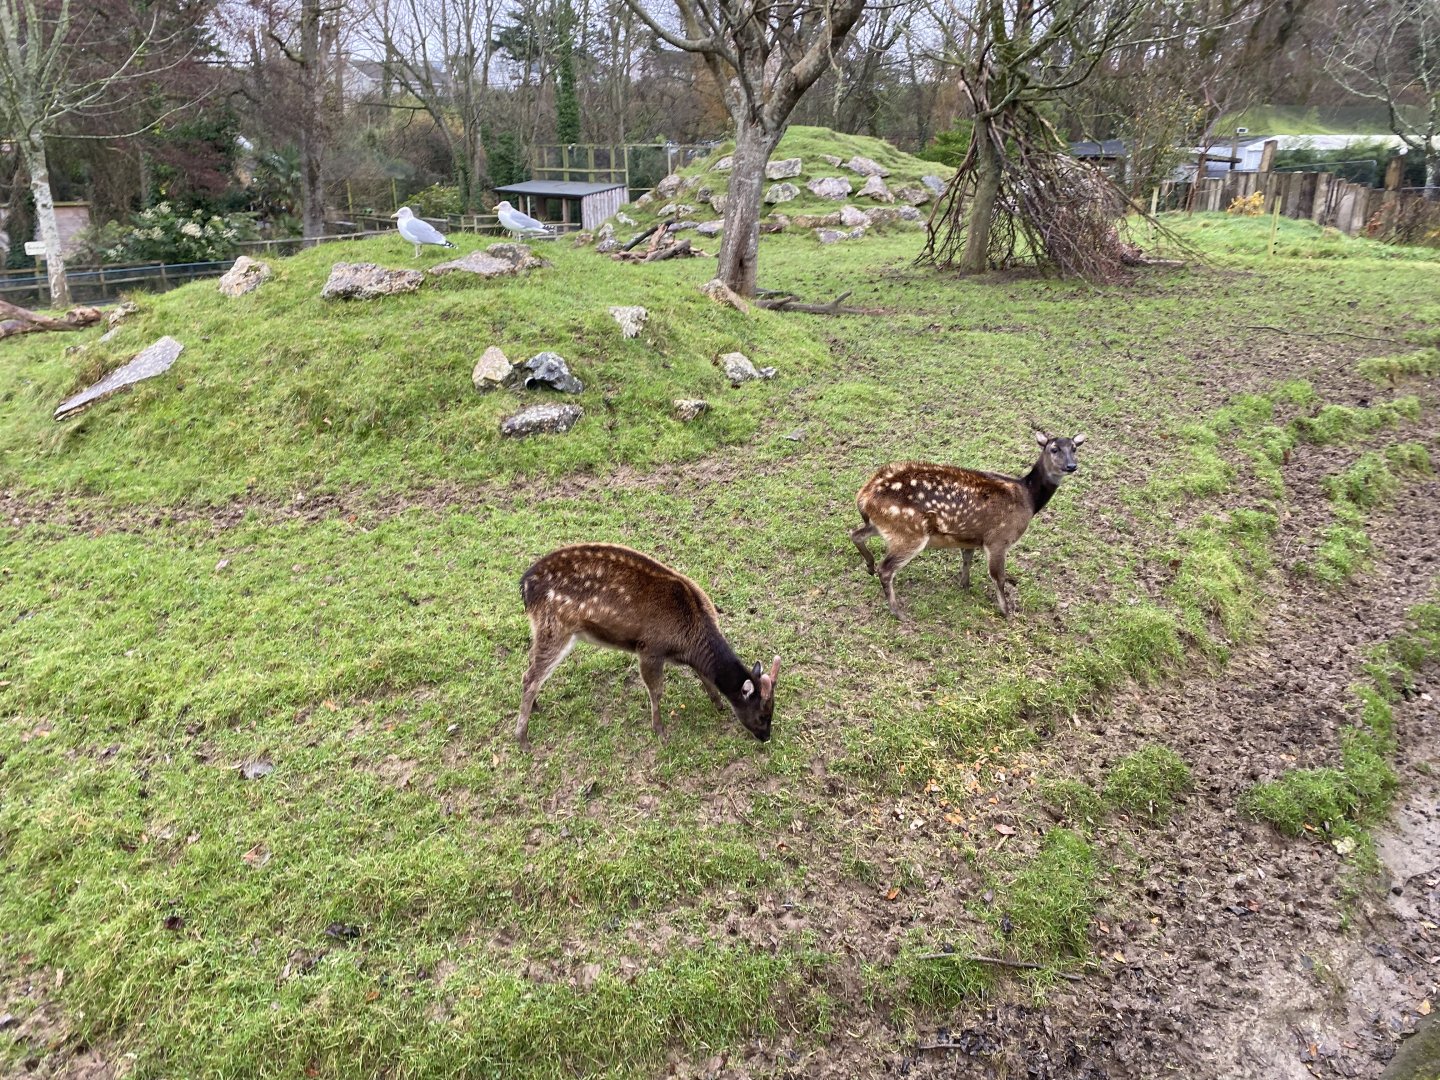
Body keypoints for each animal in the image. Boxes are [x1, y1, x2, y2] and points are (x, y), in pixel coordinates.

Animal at [516, 543, 781, 748]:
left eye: (772, 710)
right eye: (762, 715)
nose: (766, 737)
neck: (689, 642)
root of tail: (525, 586)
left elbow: (705, 677)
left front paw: (718, 704)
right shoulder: (649, 648)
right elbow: (656, 690)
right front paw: (660, 731)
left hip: (542, 629)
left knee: (529, 665)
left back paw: (535, 708)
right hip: (556, 627)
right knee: (531, 676)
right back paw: (523, 739)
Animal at [851, 430, 1087, 619]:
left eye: (1074, 448)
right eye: (1054, 449)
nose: (1071, 466)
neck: (1028, 499)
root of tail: (864, 496)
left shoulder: (971, 537)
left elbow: (967, 559)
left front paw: (965, 585)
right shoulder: (999, 539)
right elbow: (998, 577)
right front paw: (1007, 612)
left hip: (884, 526)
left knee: (855, 533)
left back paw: (869, 566)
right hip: (910, 532)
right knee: (886, 568)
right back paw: (898, 612)